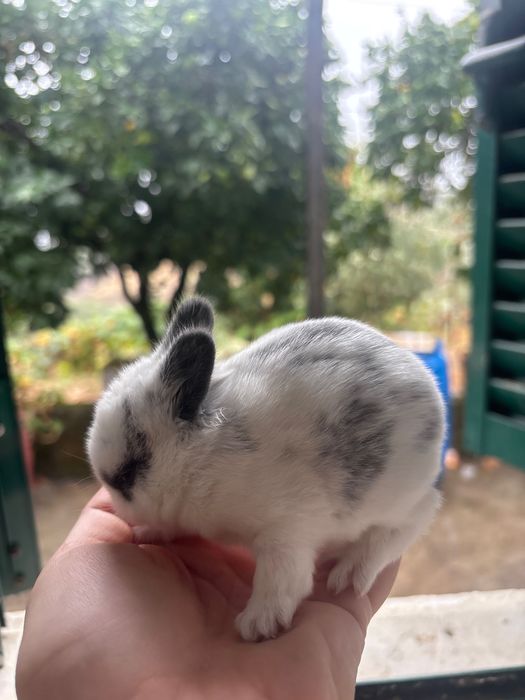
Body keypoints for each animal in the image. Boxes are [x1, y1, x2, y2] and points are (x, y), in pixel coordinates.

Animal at [87, 296, 444, 642]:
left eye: (127, 473)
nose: (120, 509)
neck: (205, 457)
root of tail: (432, 393)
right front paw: (149, 532)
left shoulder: (286, 532)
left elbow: (281, 581)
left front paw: (257, 624)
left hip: (395, 499)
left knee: (417, 518)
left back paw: (352, 572)